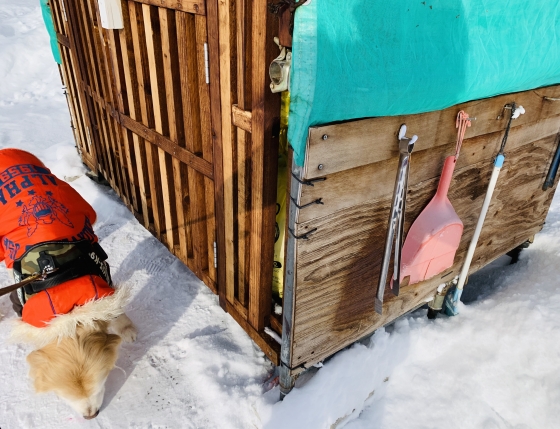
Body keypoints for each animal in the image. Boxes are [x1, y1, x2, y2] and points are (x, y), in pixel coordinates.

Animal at [0, 148, 136, 419]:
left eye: (99, 385)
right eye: (63, 396)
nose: (91, 416)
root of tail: (7, 152)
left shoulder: (100, 284)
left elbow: (116, 310)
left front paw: (127, 329)